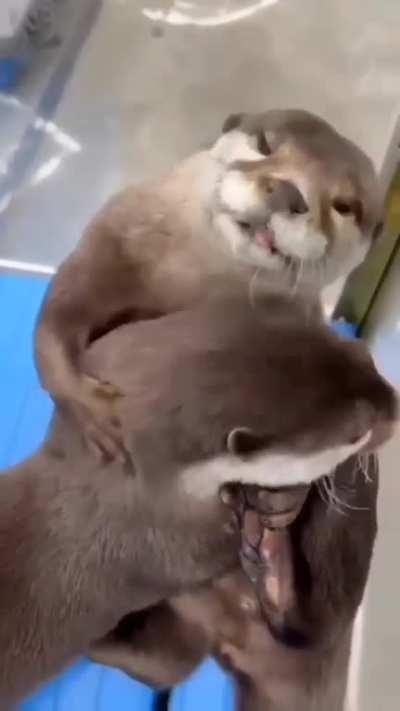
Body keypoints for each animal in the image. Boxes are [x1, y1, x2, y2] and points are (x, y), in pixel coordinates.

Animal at [34, 109, 383, 459]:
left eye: (345, 206)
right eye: (264, 144)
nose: (288, 193)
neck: (188, 279)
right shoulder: (110, 243)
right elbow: (55, 320)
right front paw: (92, 409)